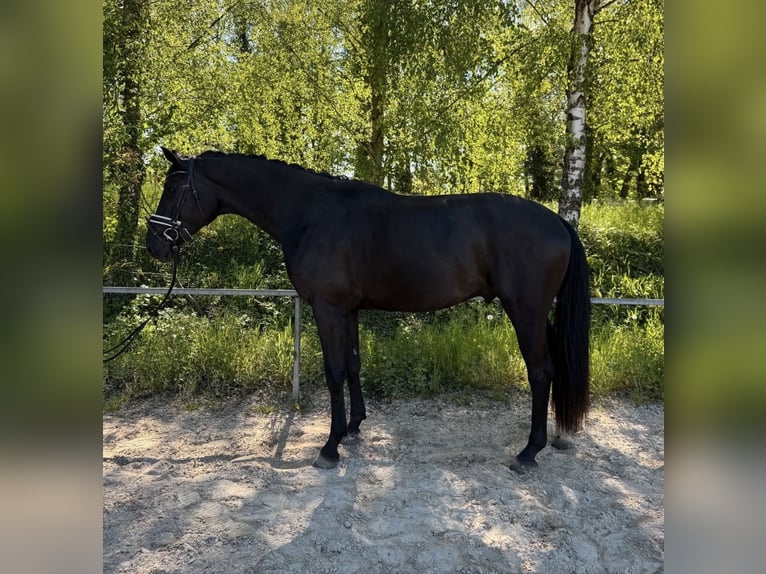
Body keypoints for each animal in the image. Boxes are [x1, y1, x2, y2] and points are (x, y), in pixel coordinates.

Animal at [146, 147, 590, 472]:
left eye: (173, 188)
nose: (154, 244)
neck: (310, 213)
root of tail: (558, 222)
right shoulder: (349, 311)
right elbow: (354, 365)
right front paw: (354, 427)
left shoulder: (327, 309)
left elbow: (333, 372)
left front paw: (330, 446)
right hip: (539, 315)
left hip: (526, 311)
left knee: (541, 372)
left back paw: (528, 453)